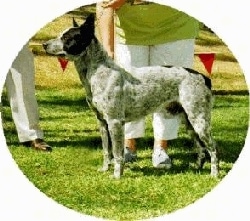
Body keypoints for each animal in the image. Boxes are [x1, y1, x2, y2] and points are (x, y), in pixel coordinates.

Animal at [43, 13, 219, 179]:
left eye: (67, 38)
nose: (44, 44)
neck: (99, 71)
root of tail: (203, 77)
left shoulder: (114, 122)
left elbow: (117, 154)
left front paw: (116, 176)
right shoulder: (102, 122)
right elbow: (107, 151)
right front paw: (105, 169)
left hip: (199, 121)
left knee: (213, 148)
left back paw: (214, 174)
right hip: (189, 122)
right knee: (202, 149)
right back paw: (197, 168)